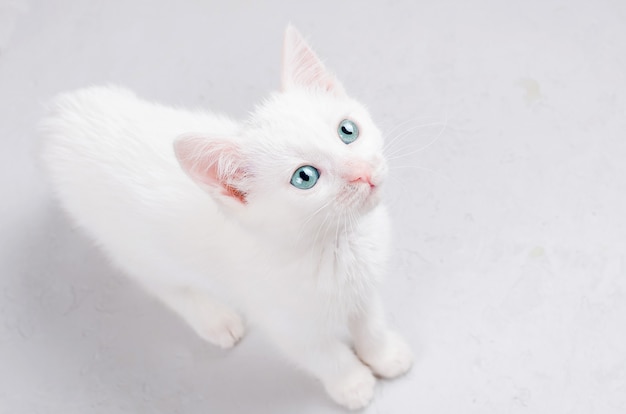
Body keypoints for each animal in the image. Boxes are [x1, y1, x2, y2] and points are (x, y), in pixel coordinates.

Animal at [39, 25, 410, 410]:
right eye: (305, 177)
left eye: (347, 131)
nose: (363, 172)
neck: (336, 242)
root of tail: (59, 116)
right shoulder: (284, 321)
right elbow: (324, 354)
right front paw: (352, 384)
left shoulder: (364, 288)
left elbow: (370, 323)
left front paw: (385, 356)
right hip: (127, 243)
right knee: (161, 283)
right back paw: (215, 320)